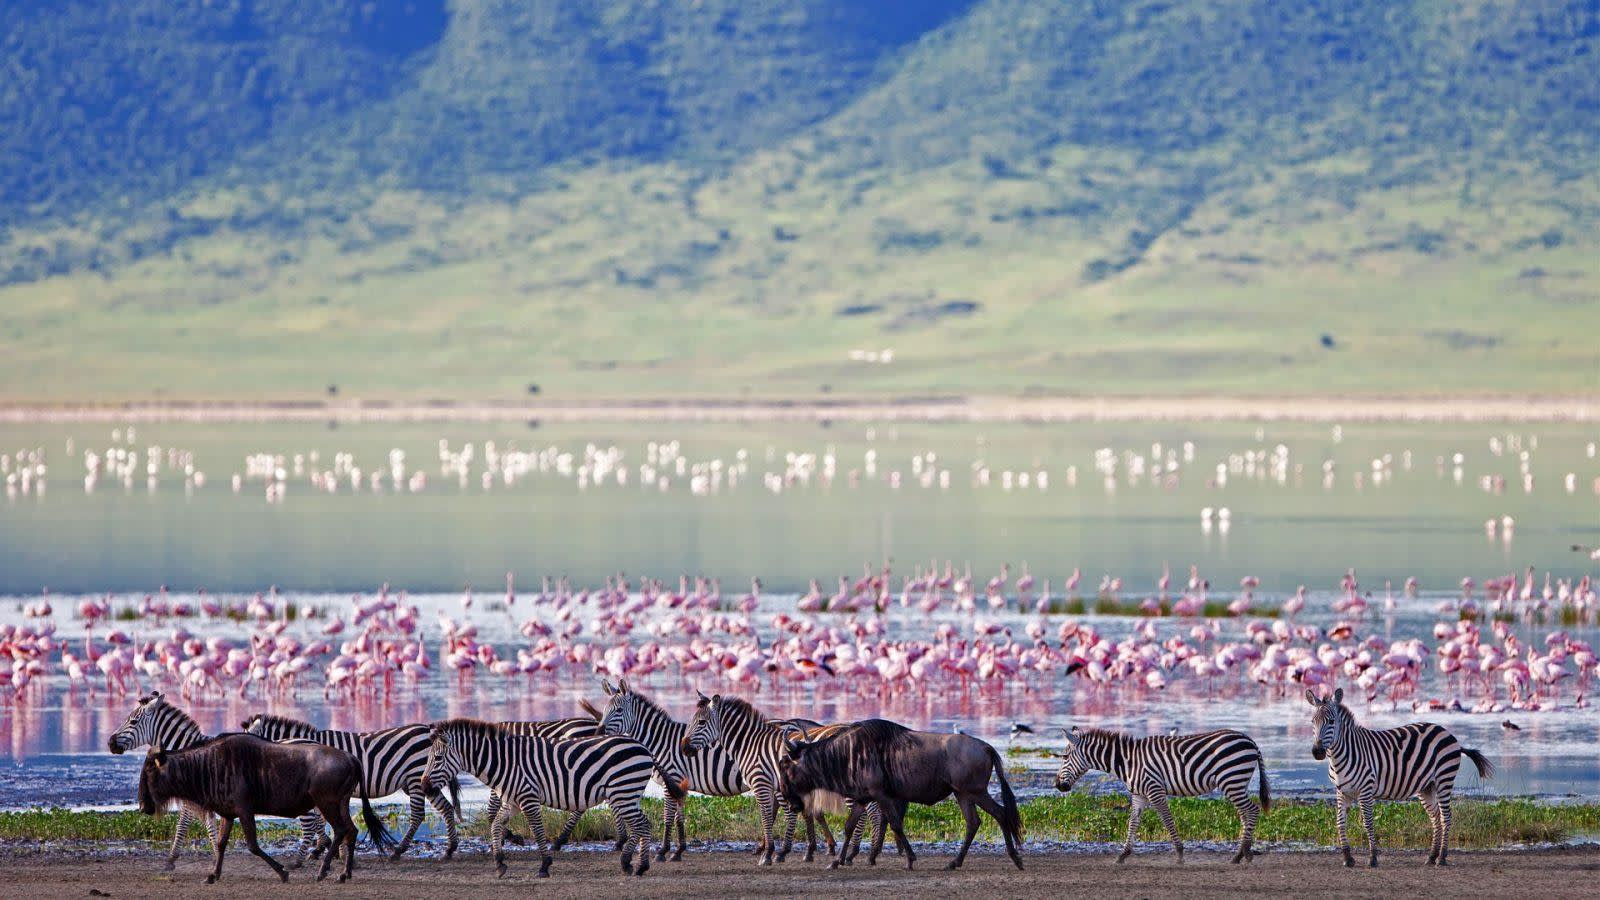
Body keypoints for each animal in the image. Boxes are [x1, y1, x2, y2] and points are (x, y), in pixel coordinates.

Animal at [108, 688, 320, 864]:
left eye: (133, 721)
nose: (110, 743)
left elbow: (185, 825)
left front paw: (174, 860)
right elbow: (204, 826)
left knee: (310, 824)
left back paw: (300, 862)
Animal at [241, 711, 464, 858]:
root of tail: (428, 729)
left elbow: (319, 820)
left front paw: (325, 848)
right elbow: (322, 819)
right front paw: (330, 847)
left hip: (416, 778)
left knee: (418, 815)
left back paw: (399, 850)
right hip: (423, 781)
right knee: (445, 807)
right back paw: (451, 848)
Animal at [419, 714, 662, 877]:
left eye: (437, 758)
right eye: (428, 758)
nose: (423, 787)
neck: (505, 761)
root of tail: (642, 746)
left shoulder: (528, 798)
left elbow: (537, 831)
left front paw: (544, 865)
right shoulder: (512, 802)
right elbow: (496, 825)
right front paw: (499, 863)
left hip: (623, 791)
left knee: (642, 824)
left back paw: (637, 865)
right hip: (626, 794)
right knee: (643, 824)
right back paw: (632, 863)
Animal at [1056, 720, 1267, 864]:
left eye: (1065, 757)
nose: (1058, 786)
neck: (1128, 762)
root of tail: (1250, 740)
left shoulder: (1154, 790)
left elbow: (1167, 820)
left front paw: (1180, 854)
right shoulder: (1139, 795)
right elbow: (1133, 823)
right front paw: (1122, 855)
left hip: (1231, 779)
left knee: (1253, 810)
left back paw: (1244, 853)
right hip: (1236, 783)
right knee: (1245, 813)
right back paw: (1239, 855)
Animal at [1305, 682, 1491, 864]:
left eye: (1331, 721)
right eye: (1313, 721)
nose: (1317, 752)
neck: (1341, 756)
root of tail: (1445, 731)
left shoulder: (1366, 790)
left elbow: (1368, 823)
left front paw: (1373, 858)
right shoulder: (1342, 792)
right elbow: (1340, 823)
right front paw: (1347, 858)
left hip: (1444, 779)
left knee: (1446, 817)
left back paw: (1442, 858)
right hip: (1427, 786)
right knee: (1436, 818)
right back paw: (1432, 856)